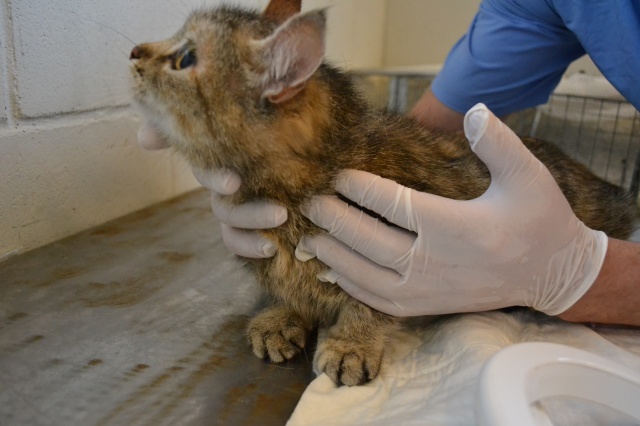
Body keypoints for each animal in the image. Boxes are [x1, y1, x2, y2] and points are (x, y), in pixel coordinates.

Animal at [129, 0, 637, 386]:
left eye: (185, 59)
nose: (134, 51)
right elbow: (287, 287)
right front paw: (283, 315)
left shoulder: (388, 261)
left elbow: (369, 306)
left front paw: (352, 344)